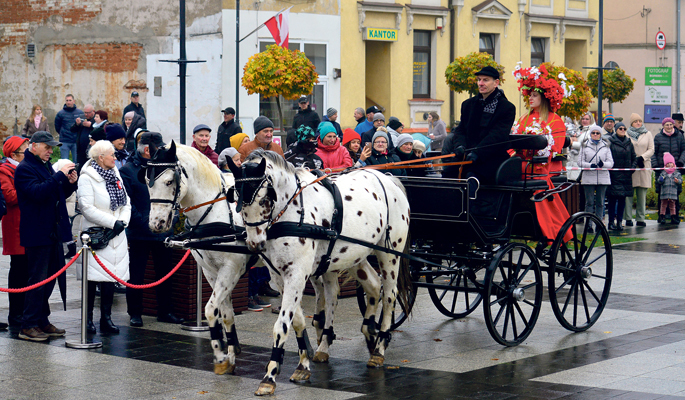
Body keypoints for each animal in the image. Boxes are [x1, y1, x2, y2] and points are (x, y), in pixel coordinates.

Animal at [145, 142, 254, 376]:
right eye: (147, 181)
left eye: (169, 181)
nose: (156, 224)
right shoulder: (211, 271)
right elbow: (226, 313)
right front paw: (230, 356)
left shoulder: (231, 268)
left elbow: (211, 310)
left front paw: (221, 355)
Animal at [228, 148, 412, 396]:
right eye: (237, 198)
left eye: (265, 199)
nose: (254, 243)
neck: (292, 211)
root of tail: (389, 179)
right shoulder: (280, 277)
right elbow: (297, 321)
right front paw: (302, 365)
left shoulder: (297, 274)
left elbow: (281, 325)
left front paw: (269, 376)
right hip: (354, 254)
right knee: (373, 287)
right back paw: (365, 334)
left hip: (389, 254)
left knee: (390, 296)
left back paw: (379, 348)